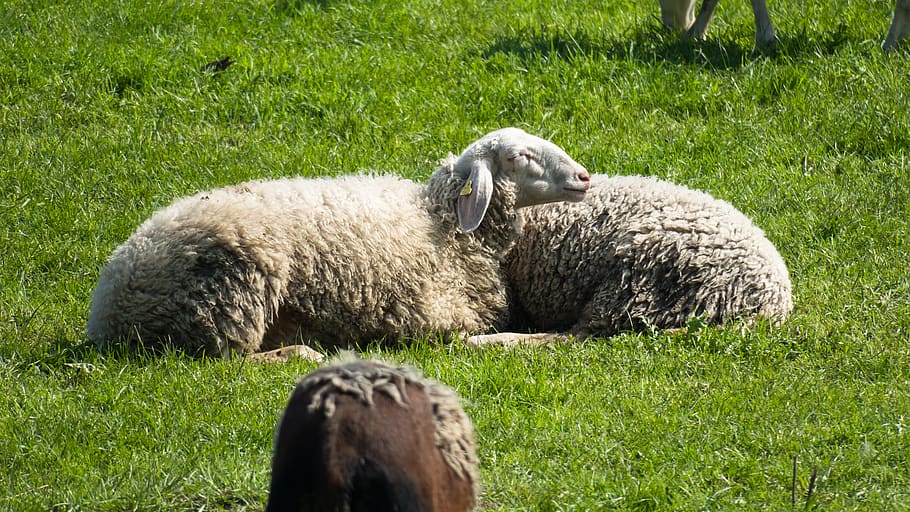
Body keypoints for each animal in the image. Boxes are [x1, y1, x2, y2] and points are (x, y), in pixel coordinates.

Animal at [86, 128, 591, 359]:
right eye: (519, 156)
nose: (584, 177)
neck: (441, 220)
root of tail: (106, 313)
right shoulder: (436, 320)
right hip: (228, 294)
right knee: (229, 360)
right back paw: (301, 353)